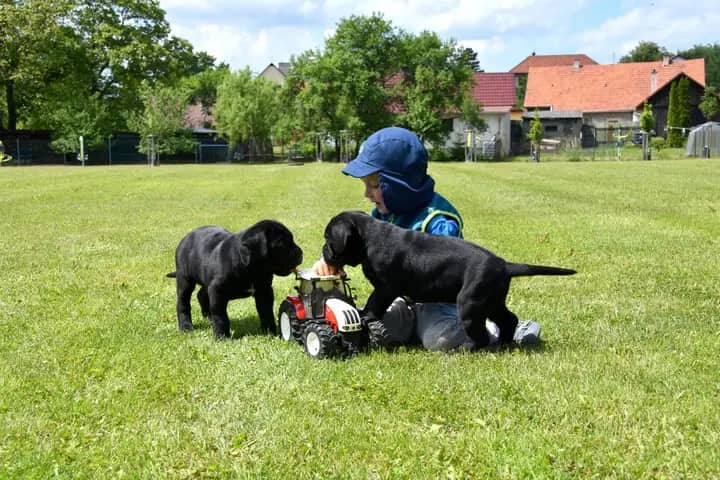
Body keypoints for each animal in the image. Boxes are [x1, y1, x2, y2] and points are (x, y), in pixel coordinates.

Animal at [167, 220, 302, 338]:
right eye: (282, 244)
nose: (301, 253)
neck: (252, 268)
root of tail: (185, 237)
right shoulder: (217, 291)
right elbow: (220, 316)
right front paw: (222, 336)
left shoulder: (264, 291)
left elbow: (266, 313)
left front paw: (271, 333)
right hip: (185, 280)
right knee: (183, 304)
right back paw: (186, 326)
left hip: (206, 278)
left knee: (201, 294)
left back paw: (208, 317)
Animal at [324, 212, 576, 346]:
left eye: (328, 239)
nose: (323, 250)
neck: (369, 239)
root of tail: (504, 266)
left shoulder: (385, 288)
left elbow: (374, 303)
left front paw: (365, 316)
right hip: (491, 301)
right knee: (508, 319)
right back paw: (504, 342)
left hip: (470, 303)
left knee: (480, 335)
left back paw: (467, 349)